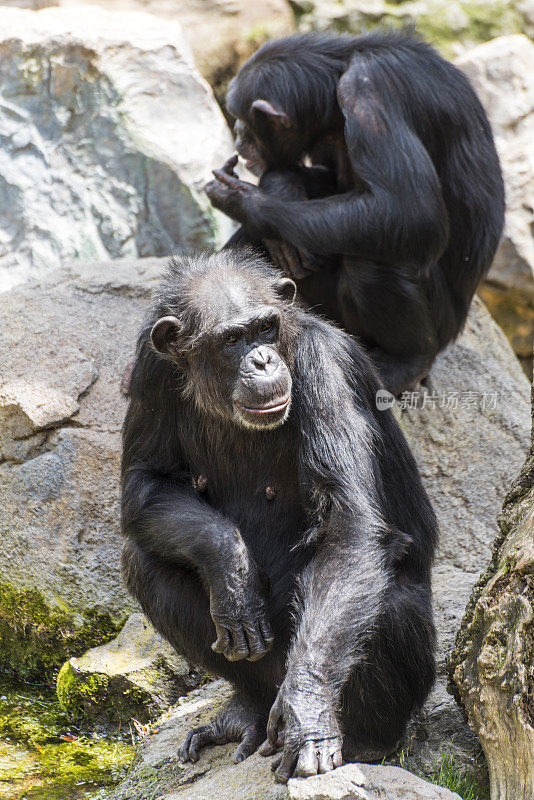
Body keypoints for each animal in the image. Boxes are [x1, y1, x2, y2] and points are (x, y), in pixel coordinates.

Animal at [121, 248, 440, 780]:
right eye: (233, 339)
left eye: (266, 328)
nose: (263, 359)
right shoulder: (150, 369)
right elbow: (145, 482)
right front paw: (230, 572)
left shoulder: (320, 364)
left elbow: (347, 527)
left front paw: (308, 714)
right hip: (268, 670)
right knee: (143, 561)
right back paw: (244, 709)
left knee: (389, 599)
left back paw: (365, 740)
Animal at [206, 30, 506, 396]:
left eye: (244, 119)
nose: (237, 133)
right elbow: (331, 183)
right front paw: (281, 187)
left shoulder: (369, 91)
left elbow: (410, 210)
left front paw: (243, 200)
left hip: (436, 323)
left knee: (374, 260)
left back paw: (406, 361)